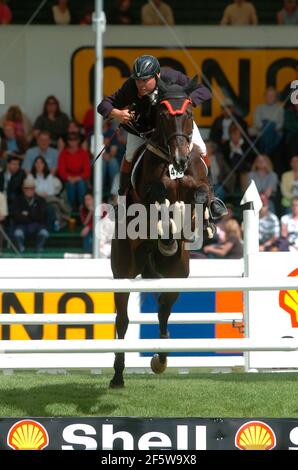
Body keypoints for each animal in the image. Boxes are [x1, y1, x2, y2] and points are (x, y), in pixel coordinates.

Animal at [109, 75, 214, 388]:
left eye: (189, 111)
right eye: (164, 115)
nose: (180, 160)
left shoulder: (198, 186)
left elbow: (200, 196)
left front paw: (200, 220)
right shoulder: (147, 192)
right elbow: (158, 194)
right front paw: (166, 222)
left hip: (176, 274)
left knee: (164, 310)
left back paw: (160, 359)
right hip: (123, 271)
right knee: (122, 321)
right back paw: (117, 375)